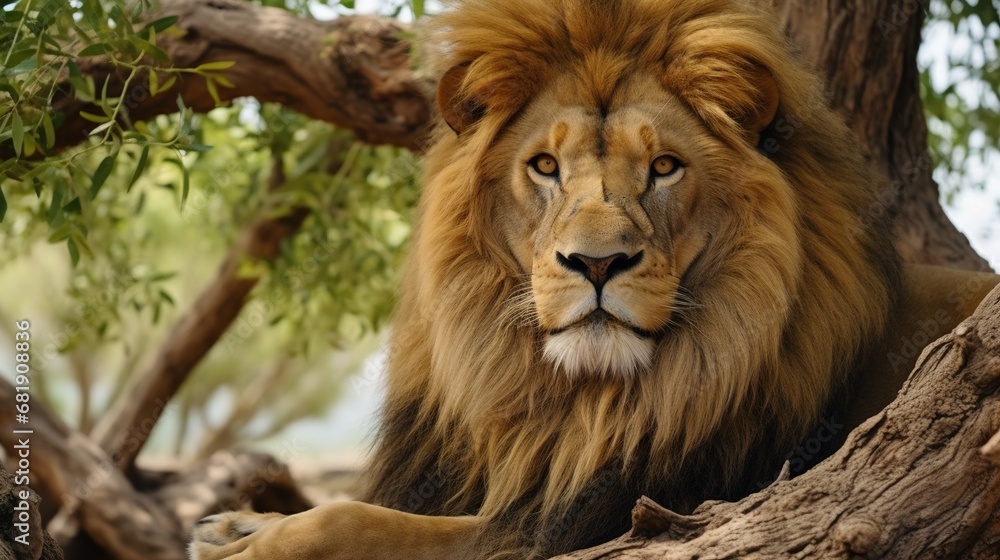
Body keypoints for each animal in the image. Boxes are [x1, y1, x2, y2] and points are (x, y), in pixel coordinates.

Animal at [188, 0, 999, 558]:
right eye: (545, 166)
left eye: (664, 166)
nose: (598, 263)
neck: (573, 406)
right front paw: (237, 522)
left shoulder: (576, 525)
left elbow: (355, 520)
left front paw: (247, 543)